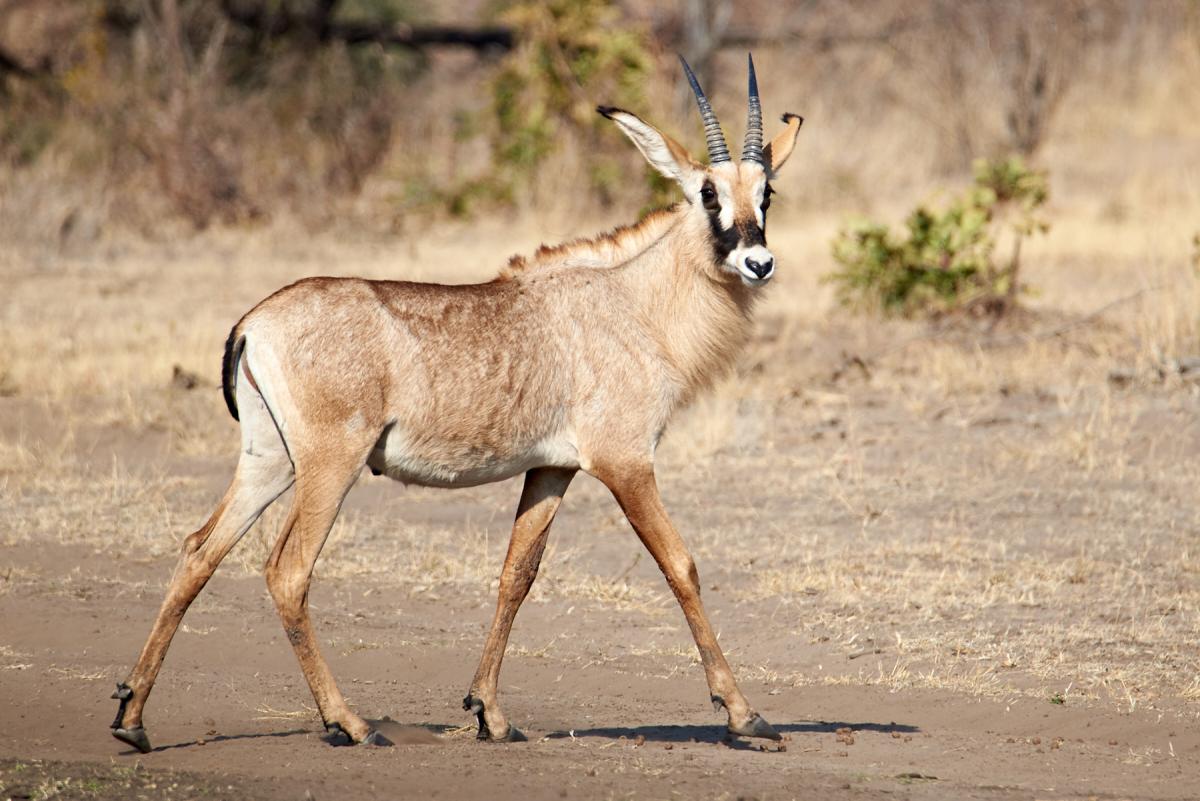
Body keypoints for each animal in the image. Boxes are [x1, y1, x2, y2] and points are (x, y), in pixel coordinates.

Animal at [110, 55, 803, 753]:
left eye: (766, 193)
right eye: (708, 193)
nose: (758, 262)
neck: (633, 301)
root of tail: (253, 322)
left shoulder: (551, 468)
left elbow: (516, 574)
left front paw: (489, 712)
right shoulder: (625, 463)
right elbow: (680, 565)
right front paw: (745, 715)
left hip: (270, 461)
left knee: (199, 550)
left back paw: (133, 717)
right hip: (330, 465)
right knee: (288, 570)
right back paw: (349, 723)